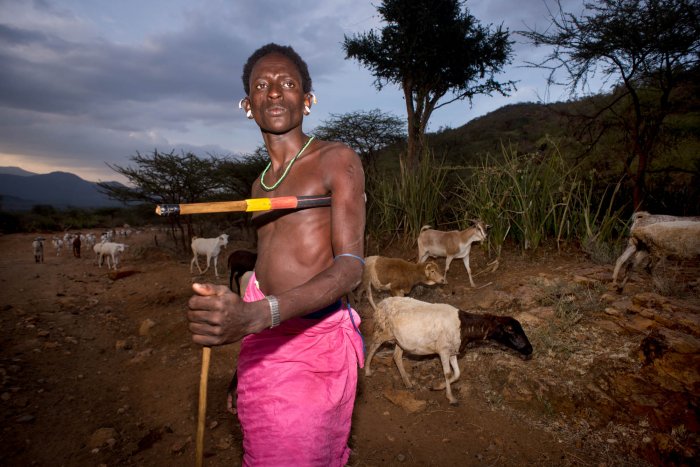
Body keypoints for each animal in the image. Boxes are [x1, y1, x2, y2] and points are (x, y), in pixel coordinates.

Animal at [364, 300, 532, 406]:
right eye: (510, 329)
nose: (530, 349)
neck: (465, 327)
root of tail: (381, 303)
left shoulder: (453, 352)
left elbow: (457, 374)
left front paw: (437, 386)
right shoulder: (443, 350)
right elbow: (448, 373)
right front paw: (451, 398)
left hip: (401, 340)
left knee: (397, 357)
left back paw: (408, 383)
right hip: (383, 331)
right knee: (373, 346)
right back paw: (367, 371)